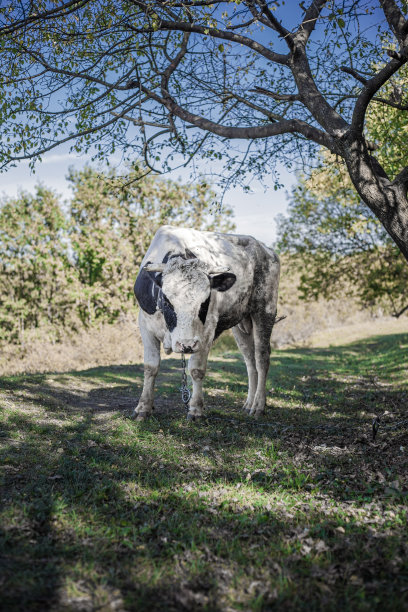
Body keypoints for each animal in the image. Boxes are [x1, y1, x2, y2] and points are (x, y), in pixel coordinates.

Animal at [134, 225, 280, 420]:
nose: (186, 345)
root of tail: (266, 249)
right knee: (249, 360)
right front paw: (143, 407)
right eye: (166, 300)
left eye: (205, 302)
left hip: (265, 311)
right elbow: (151, 367)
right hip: (241, 323)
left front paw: (196, 409)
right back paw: (249, 402)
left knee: (262, 358)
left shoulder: (207, 331)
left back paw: (258, 405)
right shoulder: (145, 325)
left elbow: (197, 369)